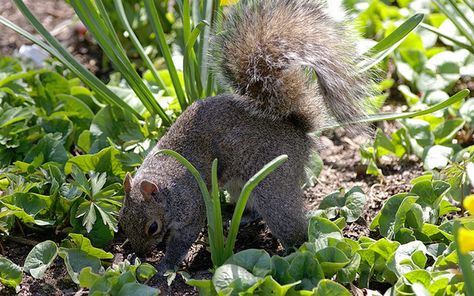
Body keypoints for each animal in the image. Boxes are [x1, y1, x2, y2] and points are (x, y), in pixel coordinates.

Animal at [117, 0, 370, 272]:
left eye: (152, 227)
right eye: (121, 220)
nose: (140, 252)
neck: (164, 184)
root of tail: (297, 131)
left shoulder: (190, 207)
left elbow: (183, 239)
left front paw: (164, 266)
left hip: (273, 183)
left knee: (291, 226)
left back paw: (291, 254)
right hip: (241, 185)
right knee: (251, 206)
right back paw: (238, 218)